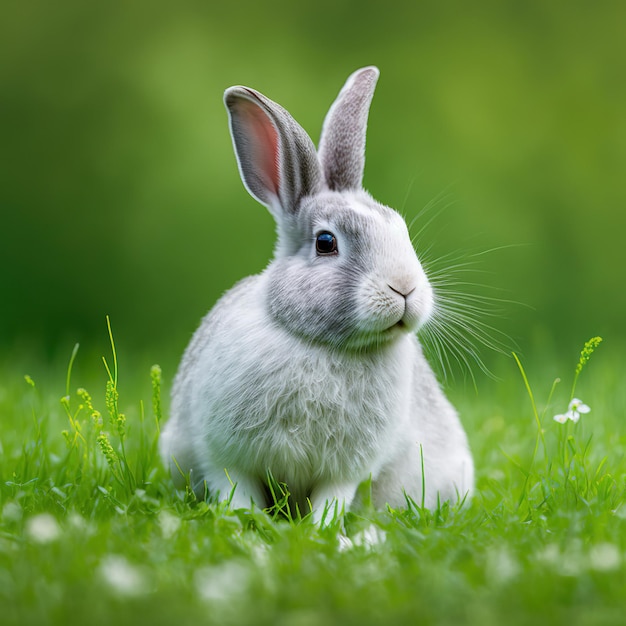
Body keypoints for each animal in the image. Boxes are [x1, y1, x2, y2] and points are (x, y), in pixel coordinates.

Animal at [161, 66, 472, 520]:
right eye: (326, 242)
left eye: (400, 228)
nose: (405, 288)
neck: (323, 344)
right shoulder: (222, 454)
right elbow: (236, 489)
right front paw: (243, 521)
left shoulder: (346, 470)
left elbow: (332, 499)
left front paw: (320, 529)